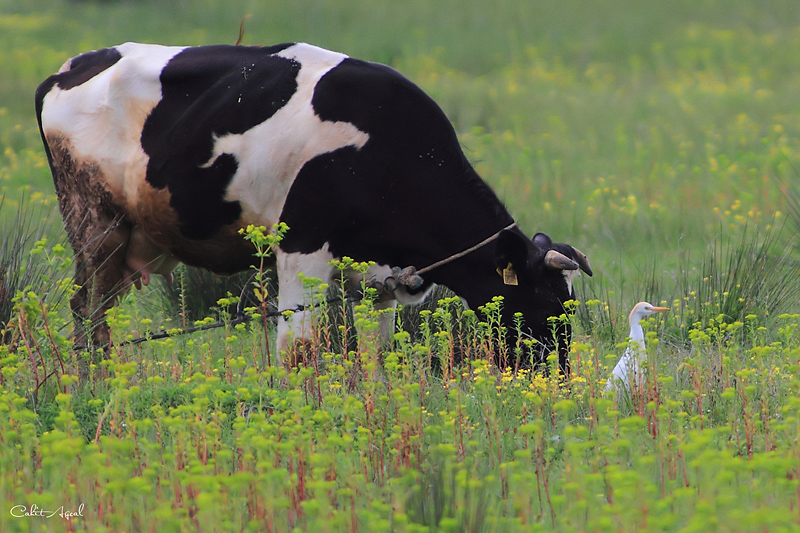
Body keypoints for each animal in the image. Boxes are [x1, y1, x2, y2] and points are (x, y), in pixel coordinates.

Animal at [34, 42, 592, 370]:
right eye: (546, 303)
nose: (557, 377)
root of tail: (71, 67)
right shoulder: (301, 248)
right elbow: (299, 351)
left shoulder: (381, 279)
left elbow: (376, 350)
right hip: (94, 224)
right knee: (86, 312)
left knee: (101, 320)